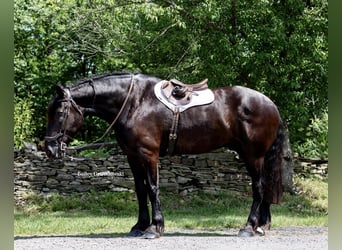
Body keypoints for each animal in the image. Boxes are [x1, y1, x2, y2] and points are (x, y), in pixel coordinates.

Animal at [46, 72, 286, 238]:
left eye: (60, 112)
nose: (49, 148)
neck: (134, 102)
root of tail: (271, 104)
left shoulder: (148, 154)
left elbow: (153, 188)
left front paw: (155, 227)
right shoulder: (132, 156)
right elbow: (141, 190)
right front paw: (139, 225)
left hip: (253, 155)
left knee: (258, 188)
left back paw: (249, 226)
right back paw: (261, 225)